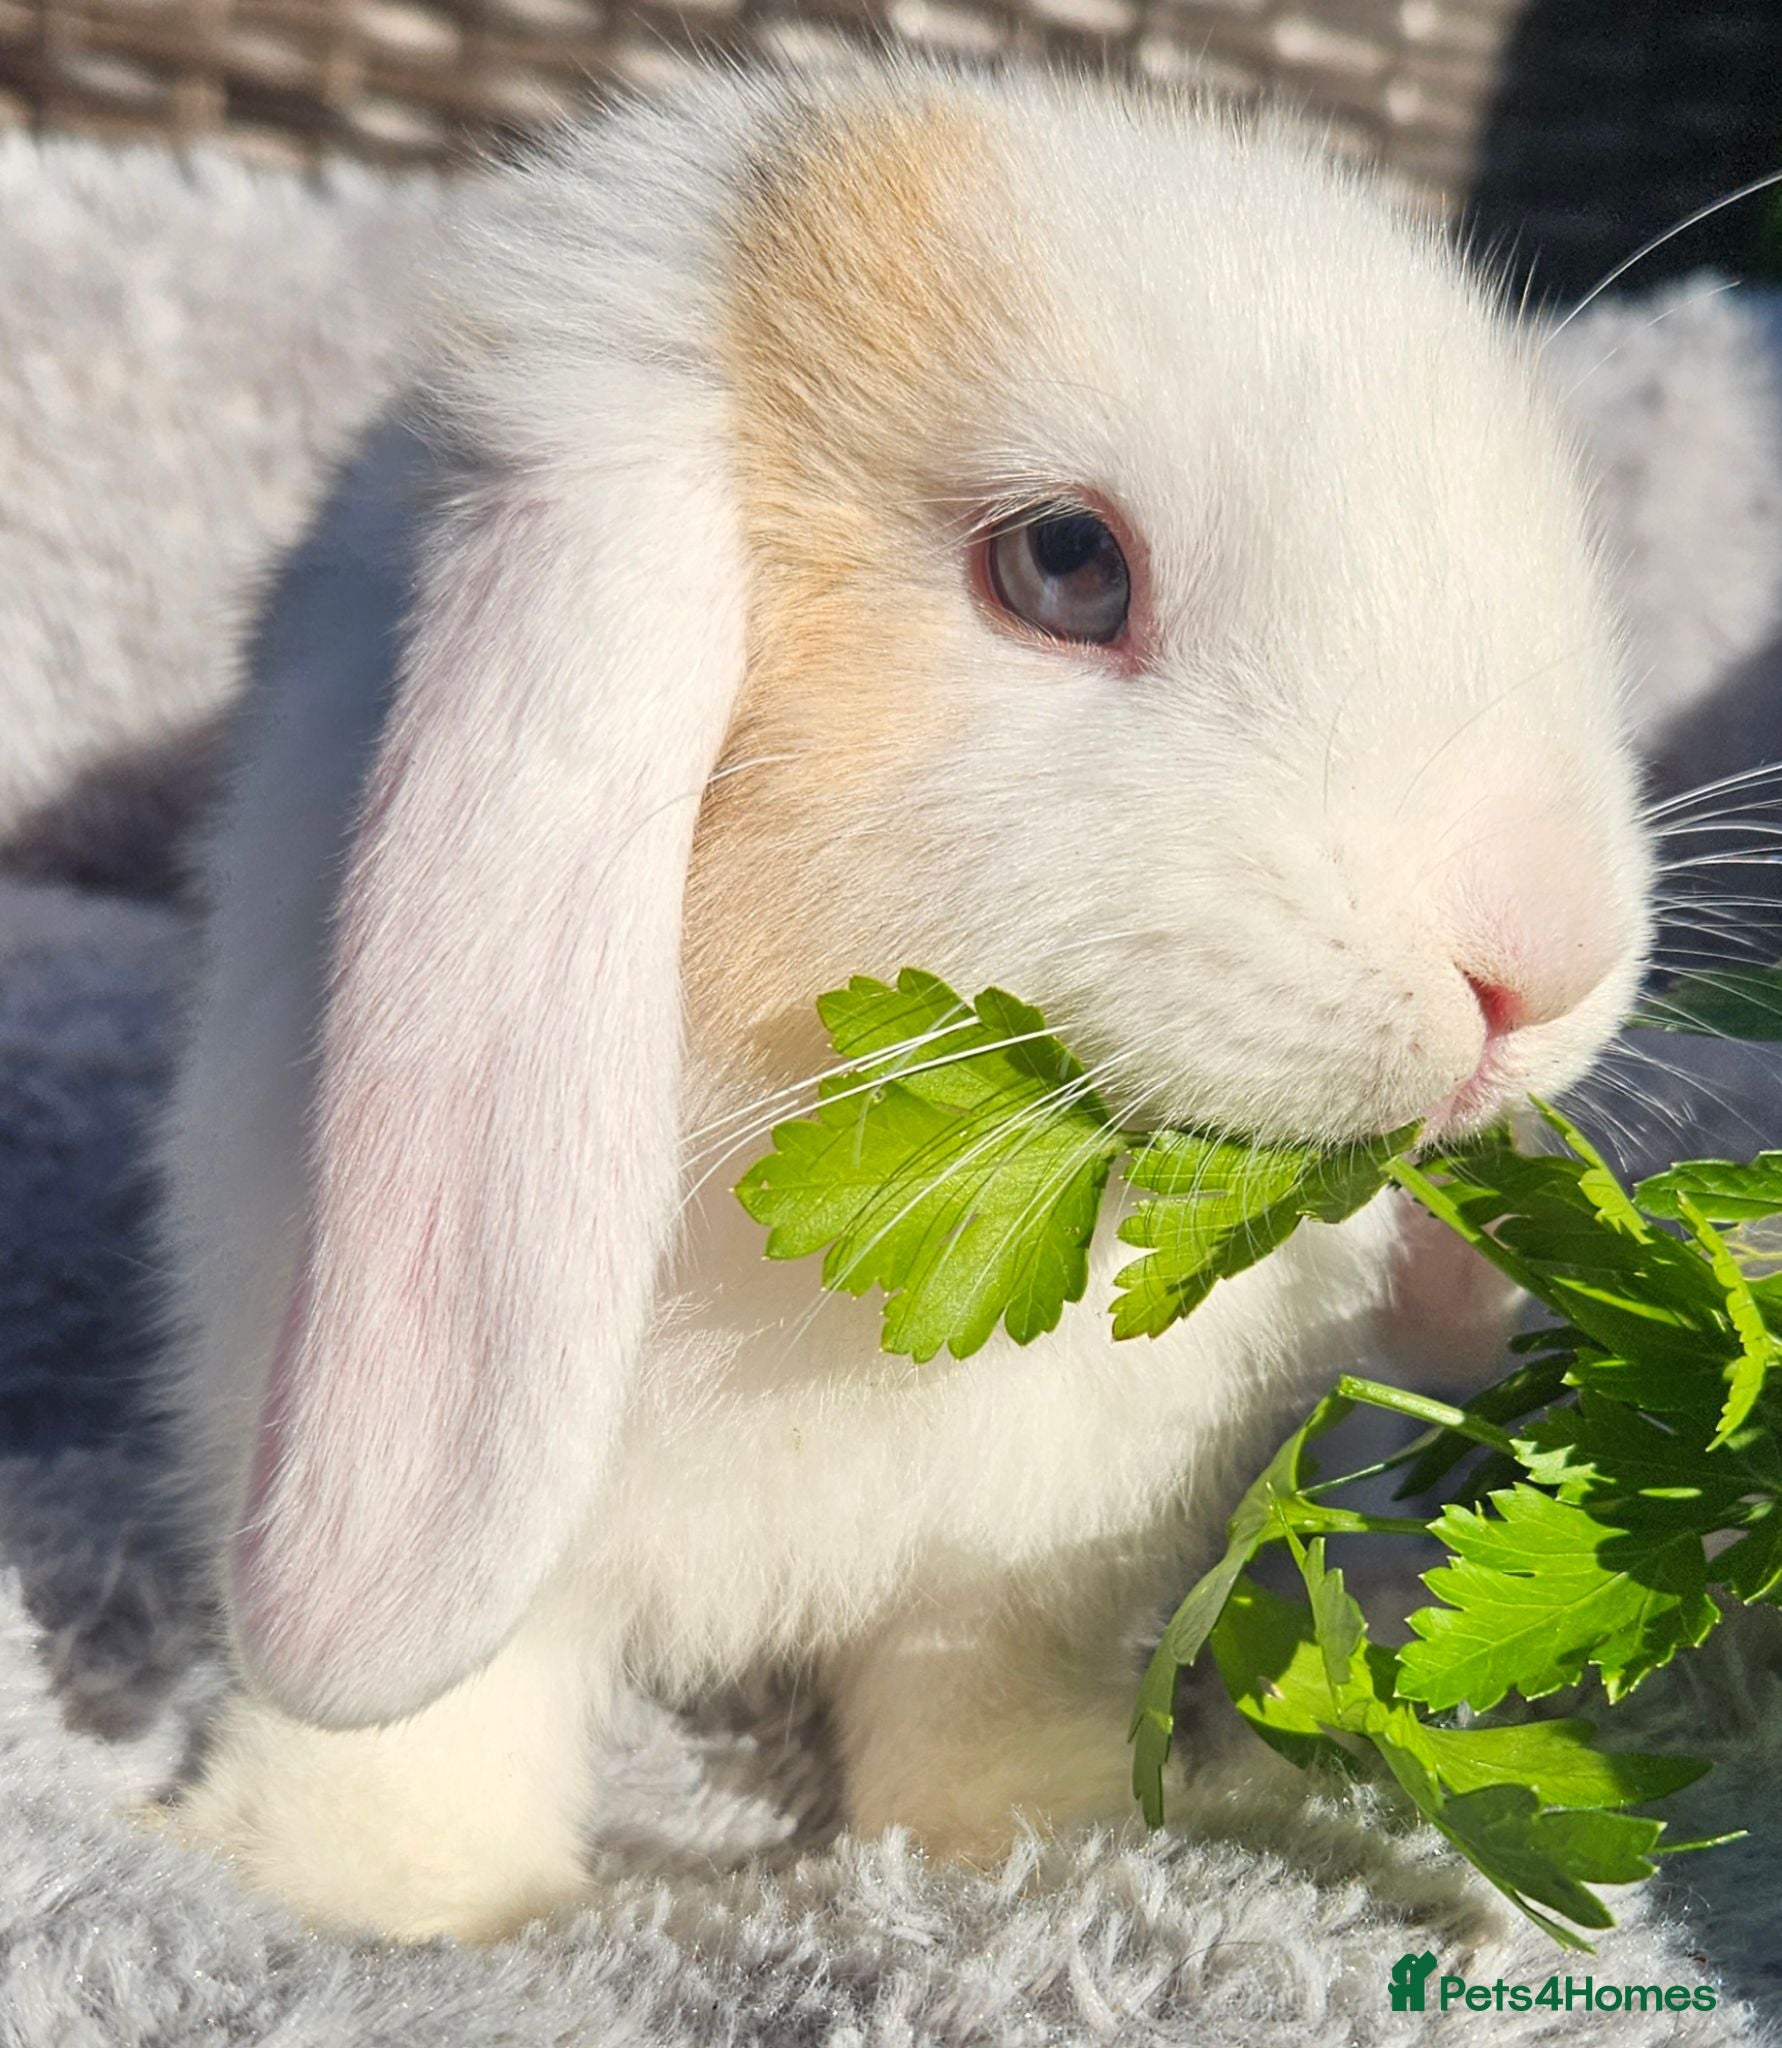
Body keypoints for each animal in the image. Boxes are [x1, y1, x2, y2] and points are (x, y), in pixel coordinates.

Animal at [153, 55, 1654, 1941]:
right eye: (1064, 565)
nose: (1542, 956)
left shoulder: (1026, 1568)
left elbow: (980, 1684)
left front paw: (1023, 1842)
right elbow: (436, 1716)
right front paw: (389, 1901)